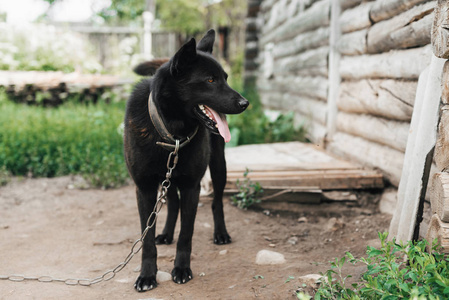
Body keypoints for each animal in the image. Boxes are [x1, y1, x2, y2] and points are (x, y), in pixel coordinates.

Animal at [122, 29, 248, 292]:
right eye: (210, 80)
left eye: (225, 78)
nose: (245, 103)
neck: (172, 132)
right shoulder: (145, 189)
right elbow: (147, 239)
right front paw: (147, 275)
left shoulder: (192, 187)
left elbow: (186, 234)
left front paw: (181, 269)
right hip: (168, 178)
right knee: (172, 203)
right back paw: (166, 233)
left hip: (218, 167)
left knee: (217, 202)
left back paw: (221, 233)